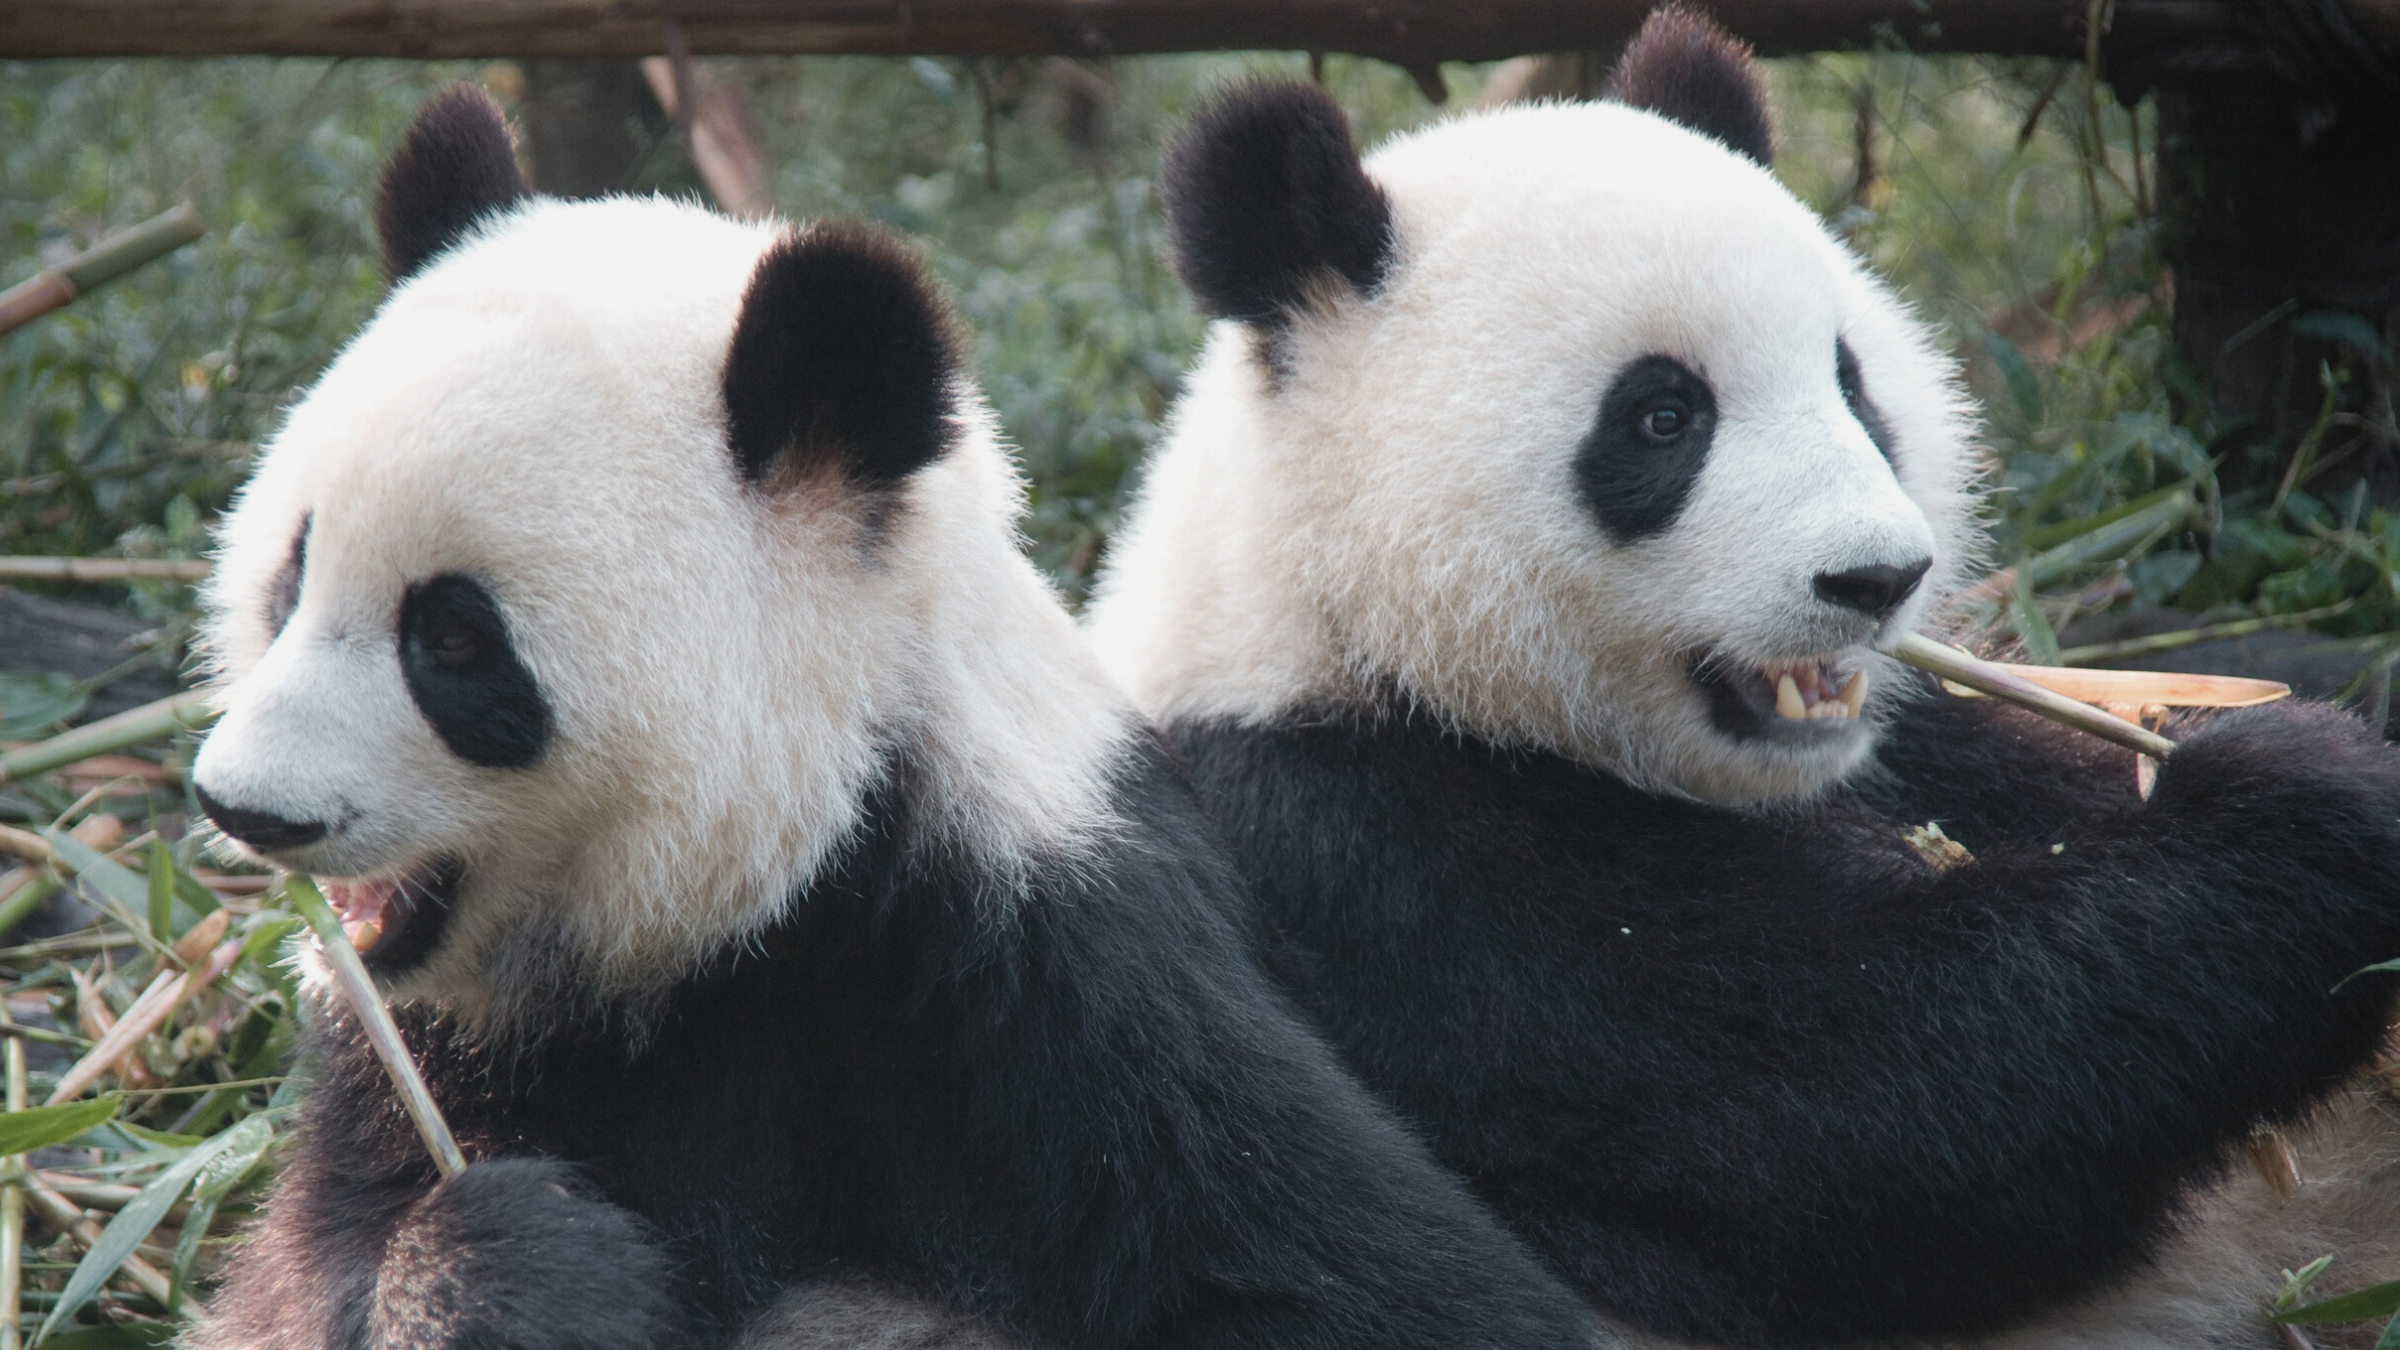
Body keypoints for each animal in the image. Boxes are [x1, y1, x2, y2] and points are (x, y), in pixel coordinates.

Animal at [181, 87, 1615, 1350]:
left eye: (453, 641)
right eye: (292, 575)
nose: (245, 807)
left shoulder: (1044, 991)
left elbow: (1354, 1268)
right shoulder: (424, 1061)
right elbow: (306, 1280)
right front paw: (523, 1257)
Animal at [1084, 11, 2400, 1350]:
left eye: (1852, 382)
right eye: (1664, 417)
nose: (1879, 577)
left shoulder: (1935, 740)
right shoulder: (1377, 865)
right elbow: (1853, 1114)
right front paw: (2307, 802)